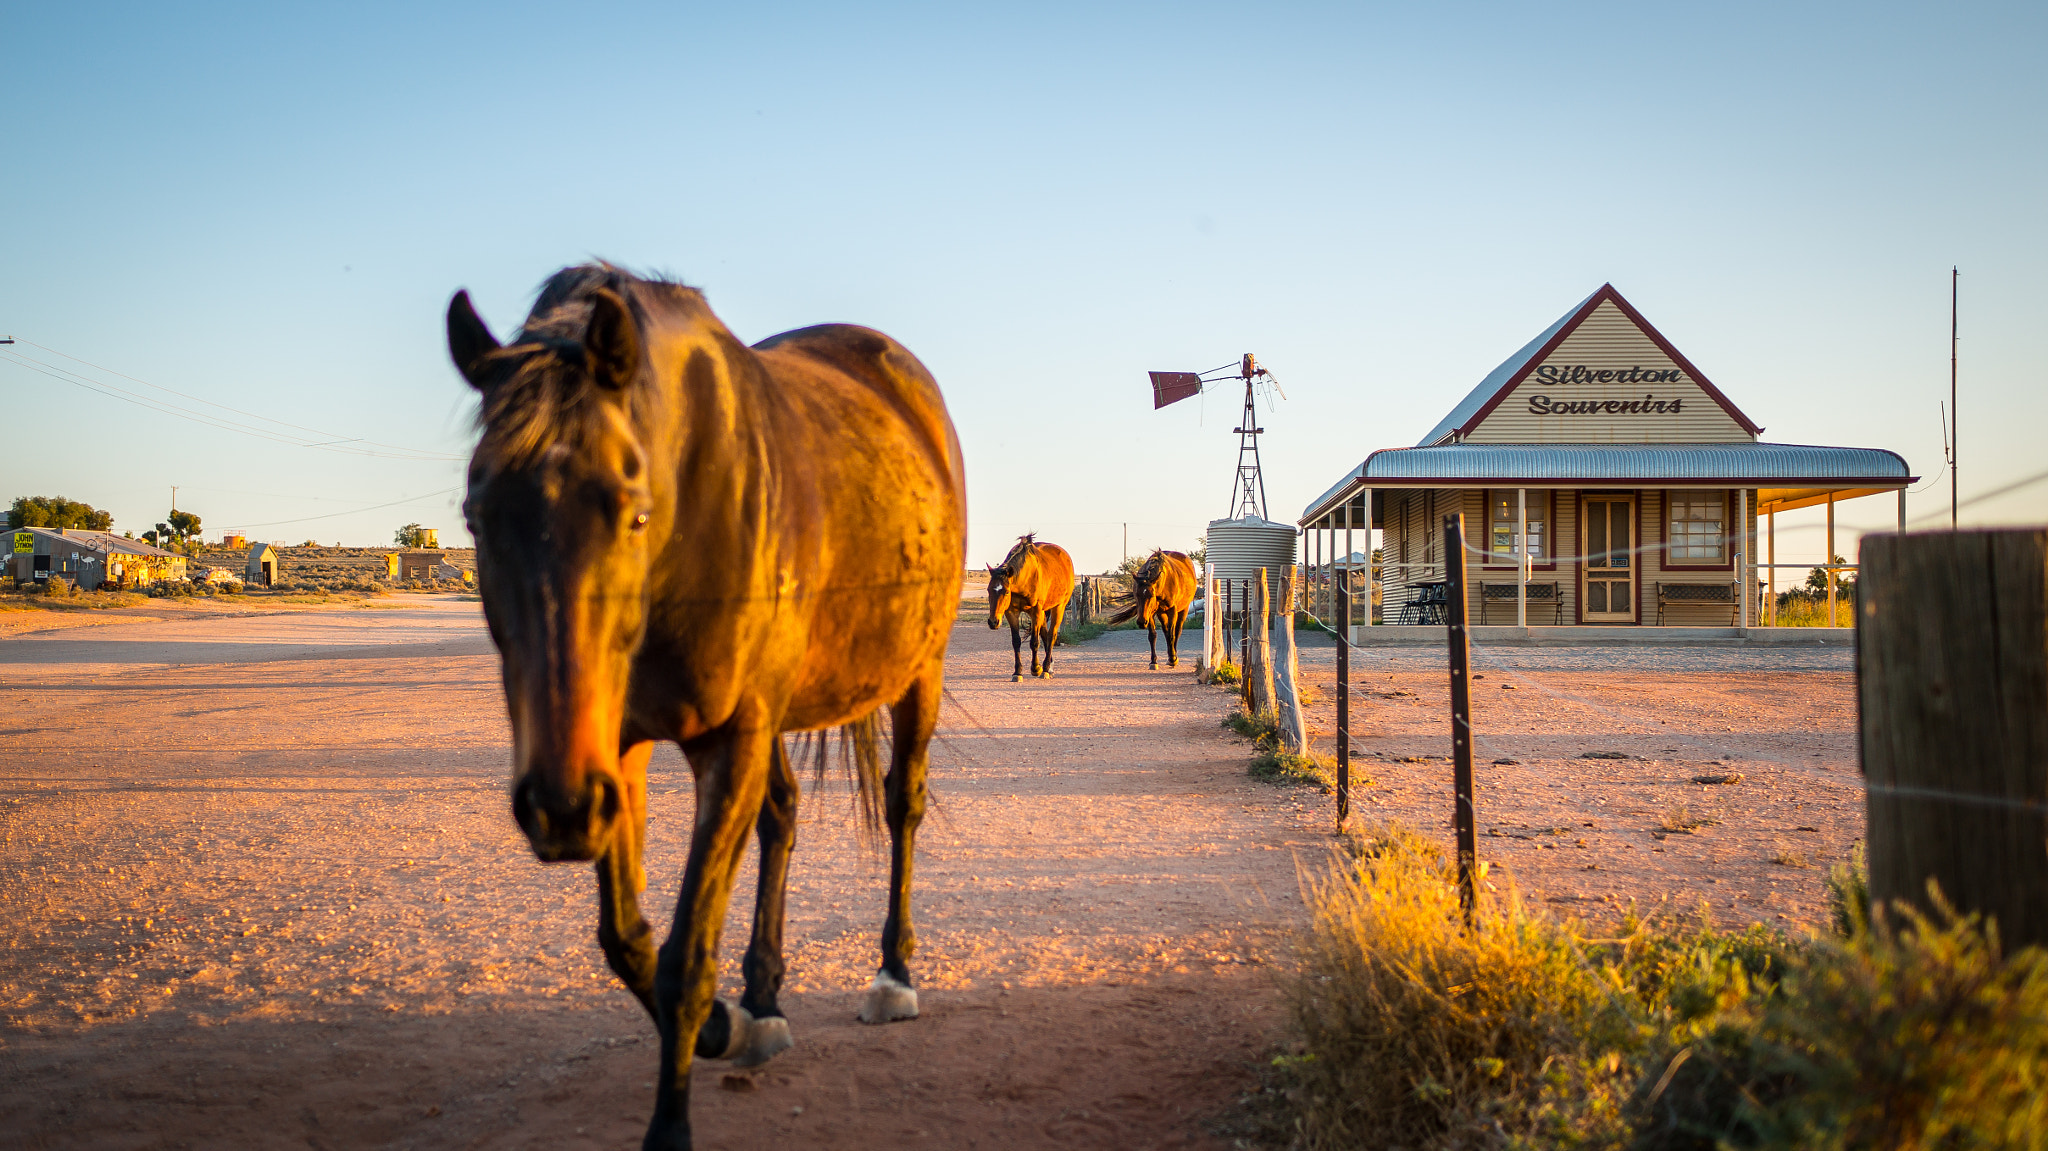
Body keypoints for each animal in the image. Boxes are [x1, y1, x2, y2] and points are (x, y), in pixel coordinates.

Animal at [452, 264, 962, 1138]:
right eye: (475, 516)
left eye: (634, 510)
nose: (556, 806)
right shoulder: (617, 749)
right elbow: (627, 939)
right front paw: (727, 1021)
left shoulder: (729, 738)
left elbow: (685, 957)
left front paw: (678, 1109)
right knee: (782, 815)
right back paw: (763, 997)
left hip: (914, 671)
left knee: (902, 804)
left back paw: (893, 972)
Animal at [987, 532, 1081, 675]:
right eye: (988, 590)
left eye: (1007, 592)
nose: (993, 622)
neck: (1025, 578)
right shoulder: (1011, 612)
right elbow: (1016, 641)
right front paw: (1017, 672)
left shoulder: (1036, 611)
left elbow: (1034, 642)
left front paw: (1036, 668)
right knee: (1045, 634)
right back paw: (1049, 664)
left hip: (1059, 607)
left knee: (1051, 635)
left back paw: (1046, 667)